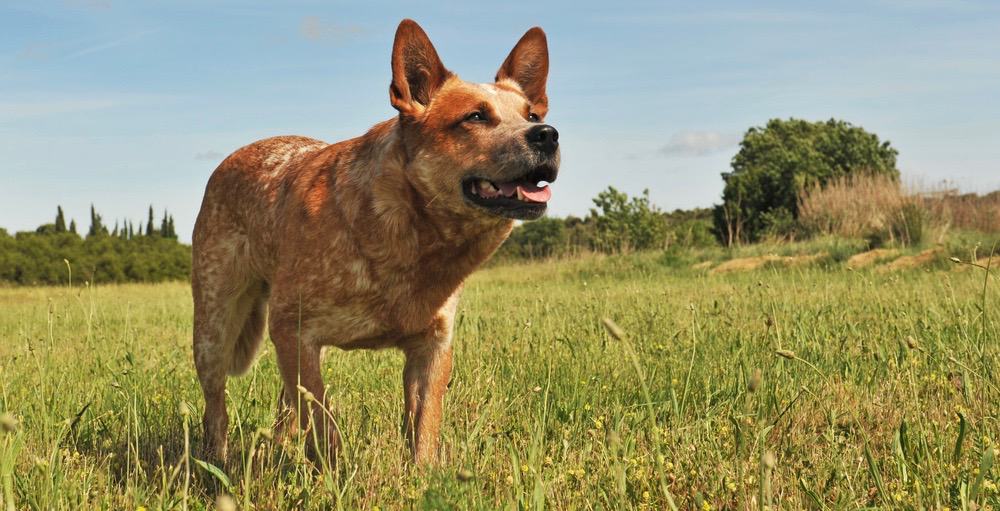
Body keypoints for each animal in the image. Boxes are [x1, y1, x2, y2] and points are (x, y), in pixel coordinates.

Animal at [191, 20, 560, 466]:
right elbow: (323, 421)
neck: (416, 240)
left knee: (285, 402)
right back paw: (216, 461)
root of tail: (232, 158)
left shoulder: (432, 346)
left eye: (532, 115)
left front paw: (423, 473)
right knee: (217, 405)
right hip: (213, 329)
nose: (547, 134)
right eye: (475, 116)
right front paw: (333, 472)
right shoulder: (293, 330)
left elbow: (424, 427)